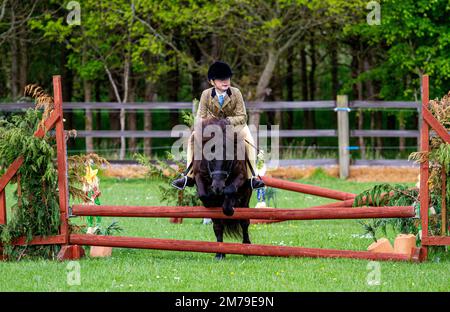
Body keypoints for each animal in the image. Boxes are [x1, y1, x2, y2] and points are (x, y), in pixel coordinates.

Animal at [191, 117, 251, 258]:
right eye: (210, 159)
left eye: (228, 160)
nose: (217, 187)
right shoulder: (199, 175)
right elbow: (204, 195)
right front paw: (211, 198)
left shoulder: (240, 175)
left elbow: (230, 190)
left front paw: (229, 208)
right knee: (218, 226)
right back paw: (220, 252)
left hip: (246, 199)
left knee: (244, 222)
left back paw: (247, 246)